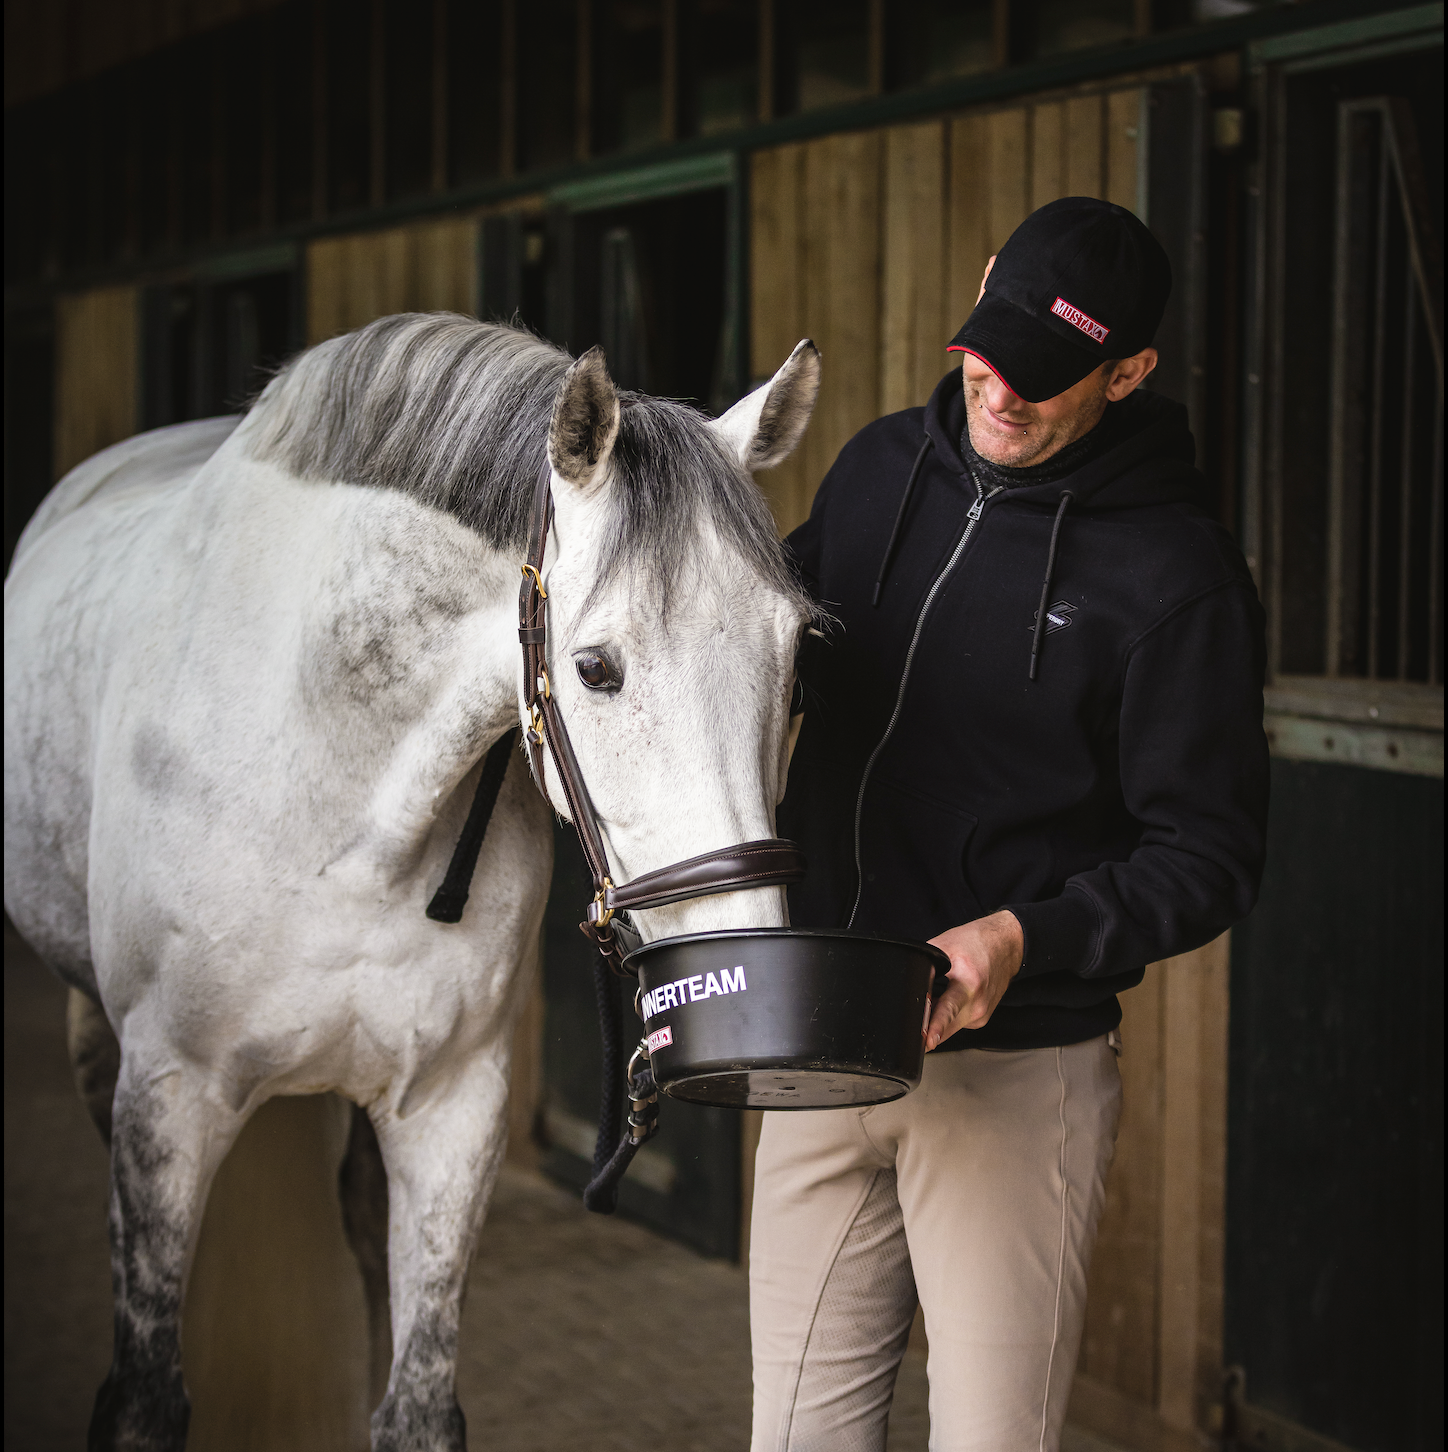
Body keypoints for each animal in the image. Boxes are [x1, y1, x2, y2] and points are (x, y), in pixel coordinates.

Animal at [0, 312, 813, 1446]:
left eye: (798, 650)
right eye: (596, 668)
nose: (748, 966)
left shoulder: (450, 1108)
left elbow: (418, 1399)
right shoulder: (168, 1093)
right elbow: (149, 1397)